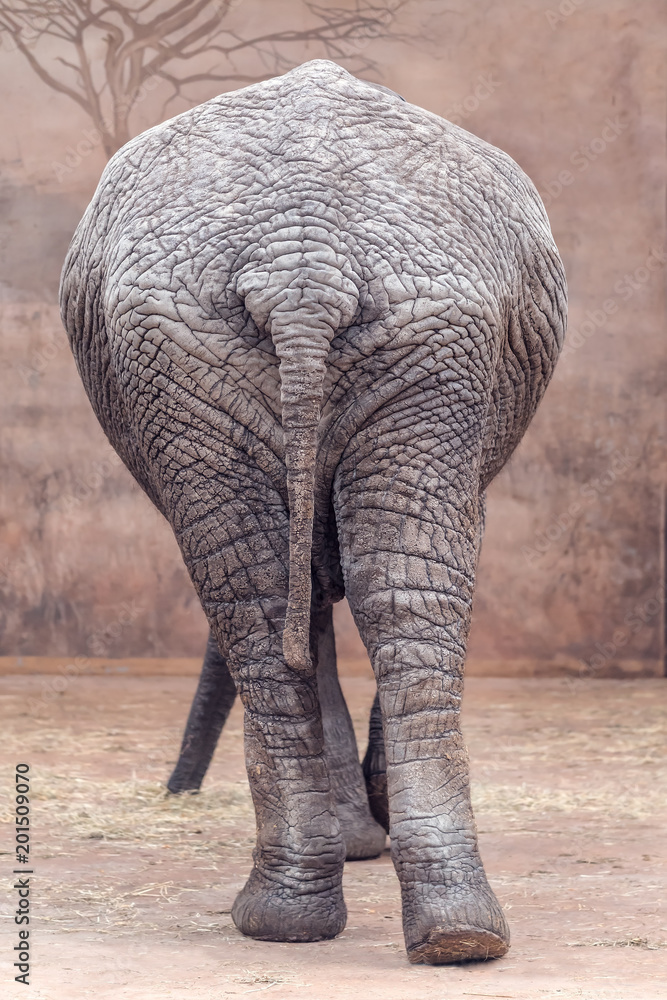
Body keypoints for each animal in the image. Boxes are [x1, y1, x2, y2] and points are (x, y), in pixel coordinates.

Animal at [60, 59, 566, 963]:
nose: (177, 793)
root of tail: (301, 266)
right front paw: (364, 837)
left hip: (382, 334)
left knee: (295, 593)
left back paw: (397, 928)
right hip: (250, 344)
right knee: (372, 588)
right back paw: (402, 928)